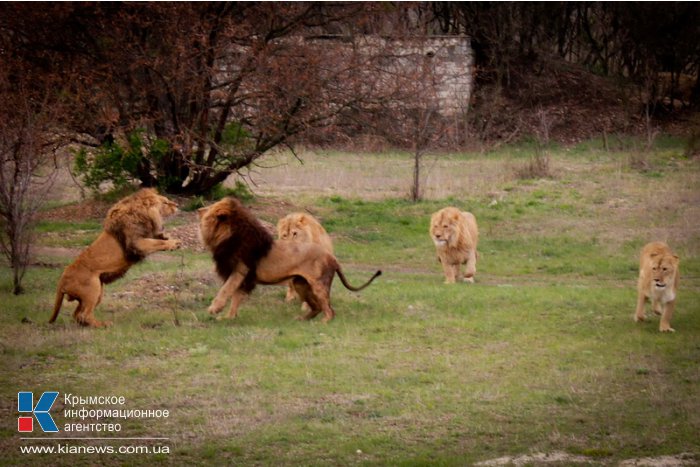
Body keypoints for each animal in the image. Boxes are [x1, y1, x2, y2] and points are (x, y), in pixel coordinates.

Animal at [48, 188, 180, 328]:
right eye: (165, 202)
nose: (177, 205)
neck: (143, 214)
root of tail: (62, 280)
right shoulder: (137, 243)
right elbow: (156, 243)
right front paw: (175, 243)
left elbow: (157, 238)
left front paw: (167, 236)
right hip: (93, 289)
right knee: (84, 314)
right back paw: (104, 324)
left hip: (96, 292)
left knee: (77, 314)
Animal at [197, 197, 382, 322]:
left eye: (210, 208)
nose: (198, 209)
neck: (227, 236)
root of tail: (332, 257)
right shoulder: (244, 278)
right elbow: (235, 297)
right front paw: (229, 317)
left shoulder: (241, 271)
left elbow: (225, 290)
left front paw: (214, 309)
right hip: (301, 285)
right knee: (316, 307)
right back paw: (302, 319)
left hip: (318, 285)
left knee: (329, 310)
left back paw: (323, 322)